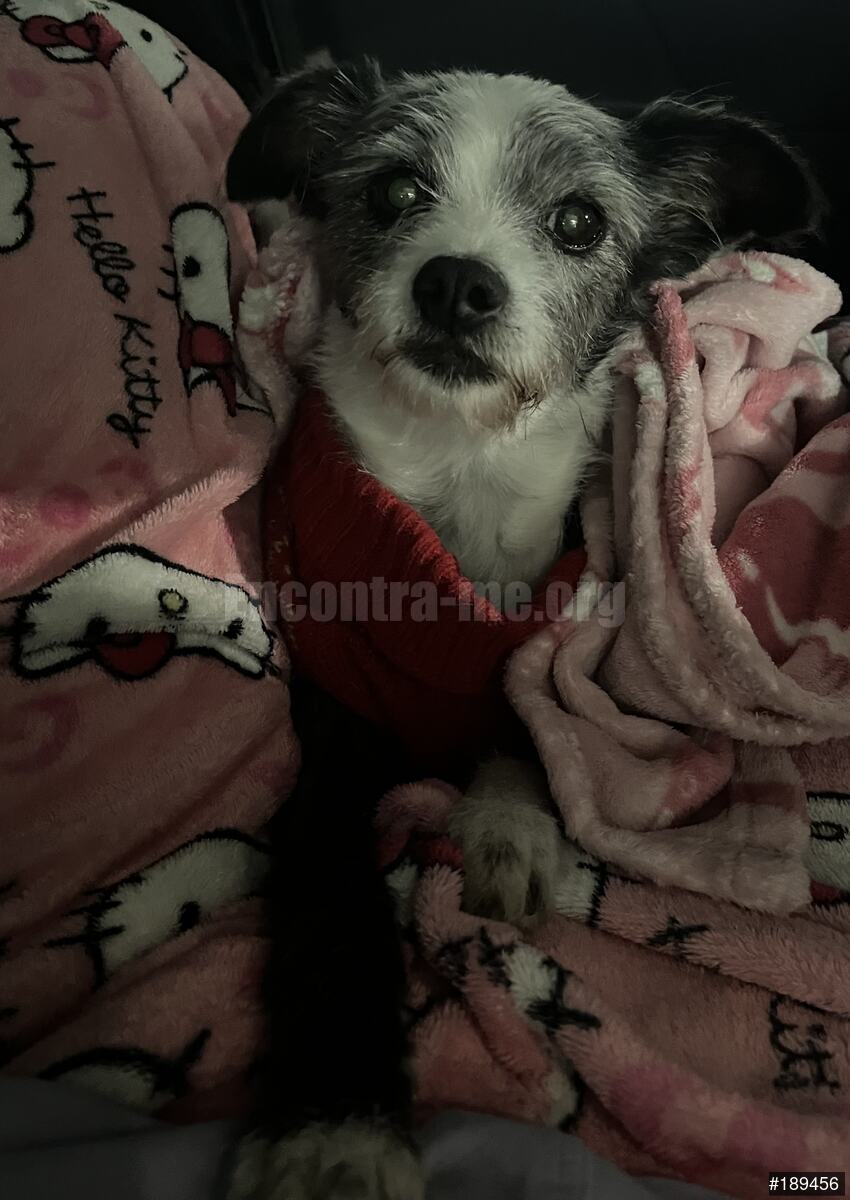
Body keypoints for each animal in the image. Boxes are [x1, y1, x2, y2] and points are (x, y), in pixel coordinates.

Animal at [226, 59, 820, 1200]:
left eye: (579, 220)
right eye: (395, 191)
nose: (456, 283)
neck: (458, 476)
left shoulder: (541, 641)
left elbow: (527, 728)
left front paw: (507, 828)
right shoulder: (331, 740)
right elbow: (331, 910)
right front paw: (337, 1134)